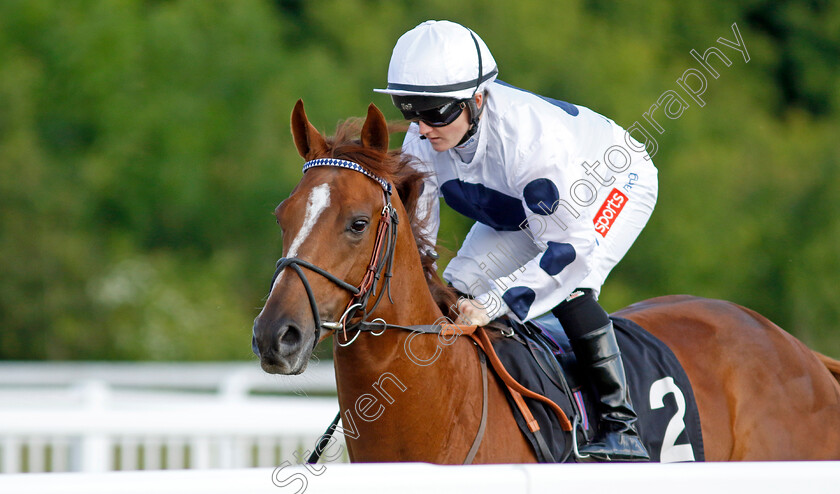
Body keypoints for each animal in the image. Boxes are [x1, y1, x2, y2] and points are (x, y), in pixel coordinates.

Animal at [253, 100, 840, 464]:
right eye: (283, 216)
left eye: (357, 223)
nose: (275, 335)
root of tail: (799, 352)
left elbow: (569, 257)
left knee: (575, 281)